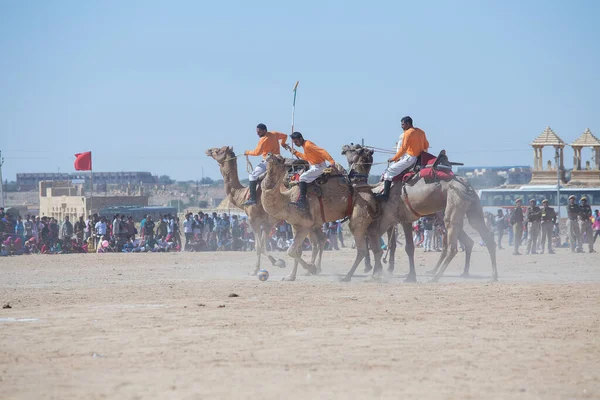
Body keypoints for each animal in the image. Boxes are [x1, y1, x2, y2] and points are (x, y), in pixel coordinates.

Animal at [206, 147, 326, 276]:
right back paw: (314, 268)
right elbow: (263, 245)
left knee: (315, 243)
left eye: (218, 151)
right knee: (318, 242)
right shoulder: (267, 223)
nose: (208, 150)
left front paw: (263, 267)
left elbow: (259, 246)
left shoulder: (255, 220)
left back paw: (311, 269)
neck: (242, 195)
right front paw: (277, 262)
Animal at [262, 153, 380, 282]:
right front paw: (291, 276)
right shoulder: (295, 225)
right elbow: (297, 251)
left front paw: (311, 268)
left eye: (279, 159)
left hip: (359, 211)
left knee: (360, 247)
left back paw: (347, 276)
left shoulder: (305, 225)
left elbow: (291, 251)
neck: (288, 200)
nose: (268, 155)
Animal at [338, 144, 496, 282]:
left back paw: (436, 277)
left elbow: (393, 246)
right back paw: (487, 274)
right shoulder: (398, 220)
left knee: (452, 245)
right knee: (482, 237)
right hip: (473, 209)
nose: (343, 147)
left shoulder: (393, 220)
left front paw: (388, 272)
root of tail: (467, 185)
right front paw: (404, 275)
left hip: (452, 207)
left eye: (354, 148)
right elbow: (404, 247)